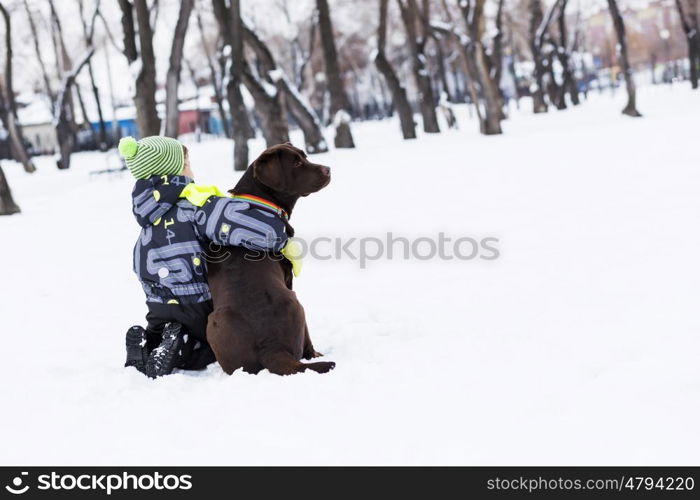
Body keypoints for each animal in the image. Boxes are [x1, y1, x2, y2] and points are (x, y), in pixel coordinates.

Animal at [206, 143, 334, 374]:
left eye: (305, 156)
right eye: (297, 163)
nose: (328, 169)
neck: (259, 204)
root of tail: (271, 347)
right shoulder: (289, 277)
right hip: (297, 303)